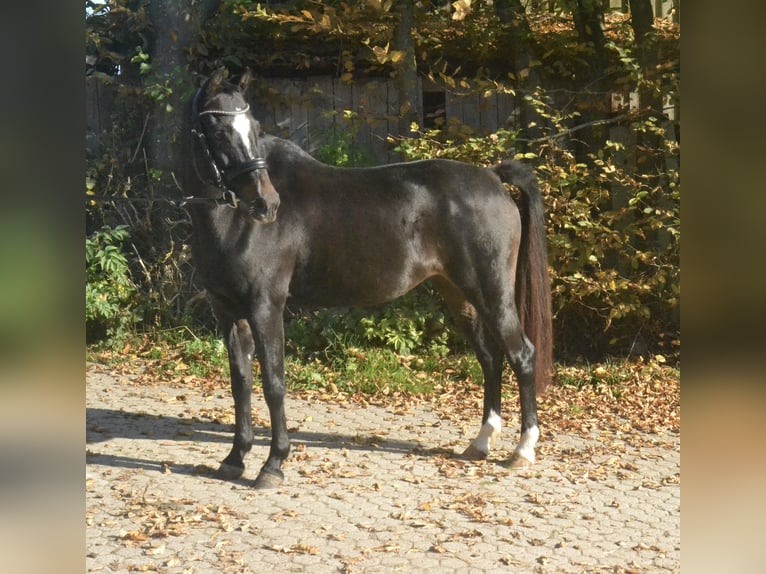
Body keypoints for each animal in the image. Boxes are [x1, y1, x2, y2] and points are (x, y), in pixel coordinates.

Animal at [180, 67, 552, 490]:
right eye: (217, 129)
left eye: (254, 127)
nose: (266, 204)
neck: (233, 220)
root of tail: (491, 177)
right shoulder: (227, 310)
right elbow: (240, 382)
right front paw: (234, 459)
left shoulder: (265, 306)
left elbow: (274, 384)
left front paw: (273, 464)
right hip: (459, 295)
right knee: (490, 358)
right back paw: (481, 442)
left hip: (492, 292)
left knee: (521, 355)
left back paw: (522, 450)